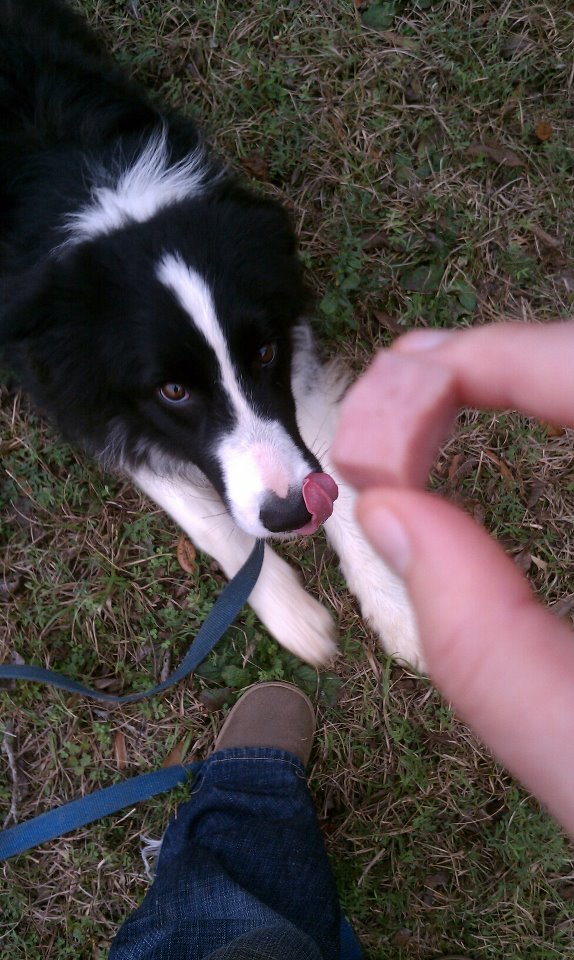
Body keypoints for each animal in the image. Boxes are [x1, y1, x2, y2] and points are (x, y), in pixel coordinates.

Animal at [0, 0, 424, 668]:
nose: (291, 512)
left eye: (265, 351)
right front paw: (291, 612)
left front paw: (395, 607)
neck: (112, 204)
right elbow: (205, 518)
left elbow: (328, 461)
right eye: (173, 391)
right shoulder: (71, 388)